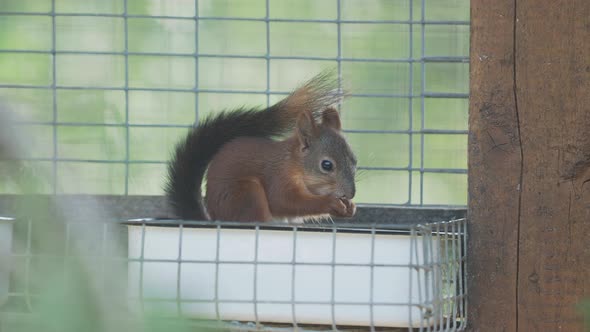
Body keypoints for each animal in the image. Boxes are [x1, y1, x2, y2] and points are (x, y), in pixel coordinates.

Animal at [168, 71, 360, 222]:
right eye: (326, 165)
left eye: (355, 161)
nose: (351, 193)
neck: (296, 164)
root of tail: (215, 218)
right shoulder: (278, 177)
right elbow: (283, 201)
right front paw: (330, 203)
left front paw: (350, 206)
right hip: (246, 193)